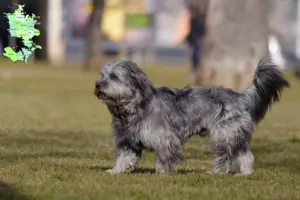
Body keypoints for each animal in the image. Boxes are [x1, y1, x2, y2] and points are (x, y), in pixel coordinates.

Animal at [95, 57, 290, 175]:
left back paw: (217, 172)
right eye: (102, 75)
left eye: (114, 77)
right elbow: (124, 158)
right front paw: (116, 171)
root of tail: (238, 96)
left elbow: (164, 158)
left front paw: (162, 173)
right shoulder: (127, 142)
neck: (135, 108)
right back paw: (244, 174)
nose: (97, 85)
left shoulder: (165, 139)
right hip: (233, 135)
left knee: (226, 157)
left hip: (223, 135)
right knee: (245, 155)